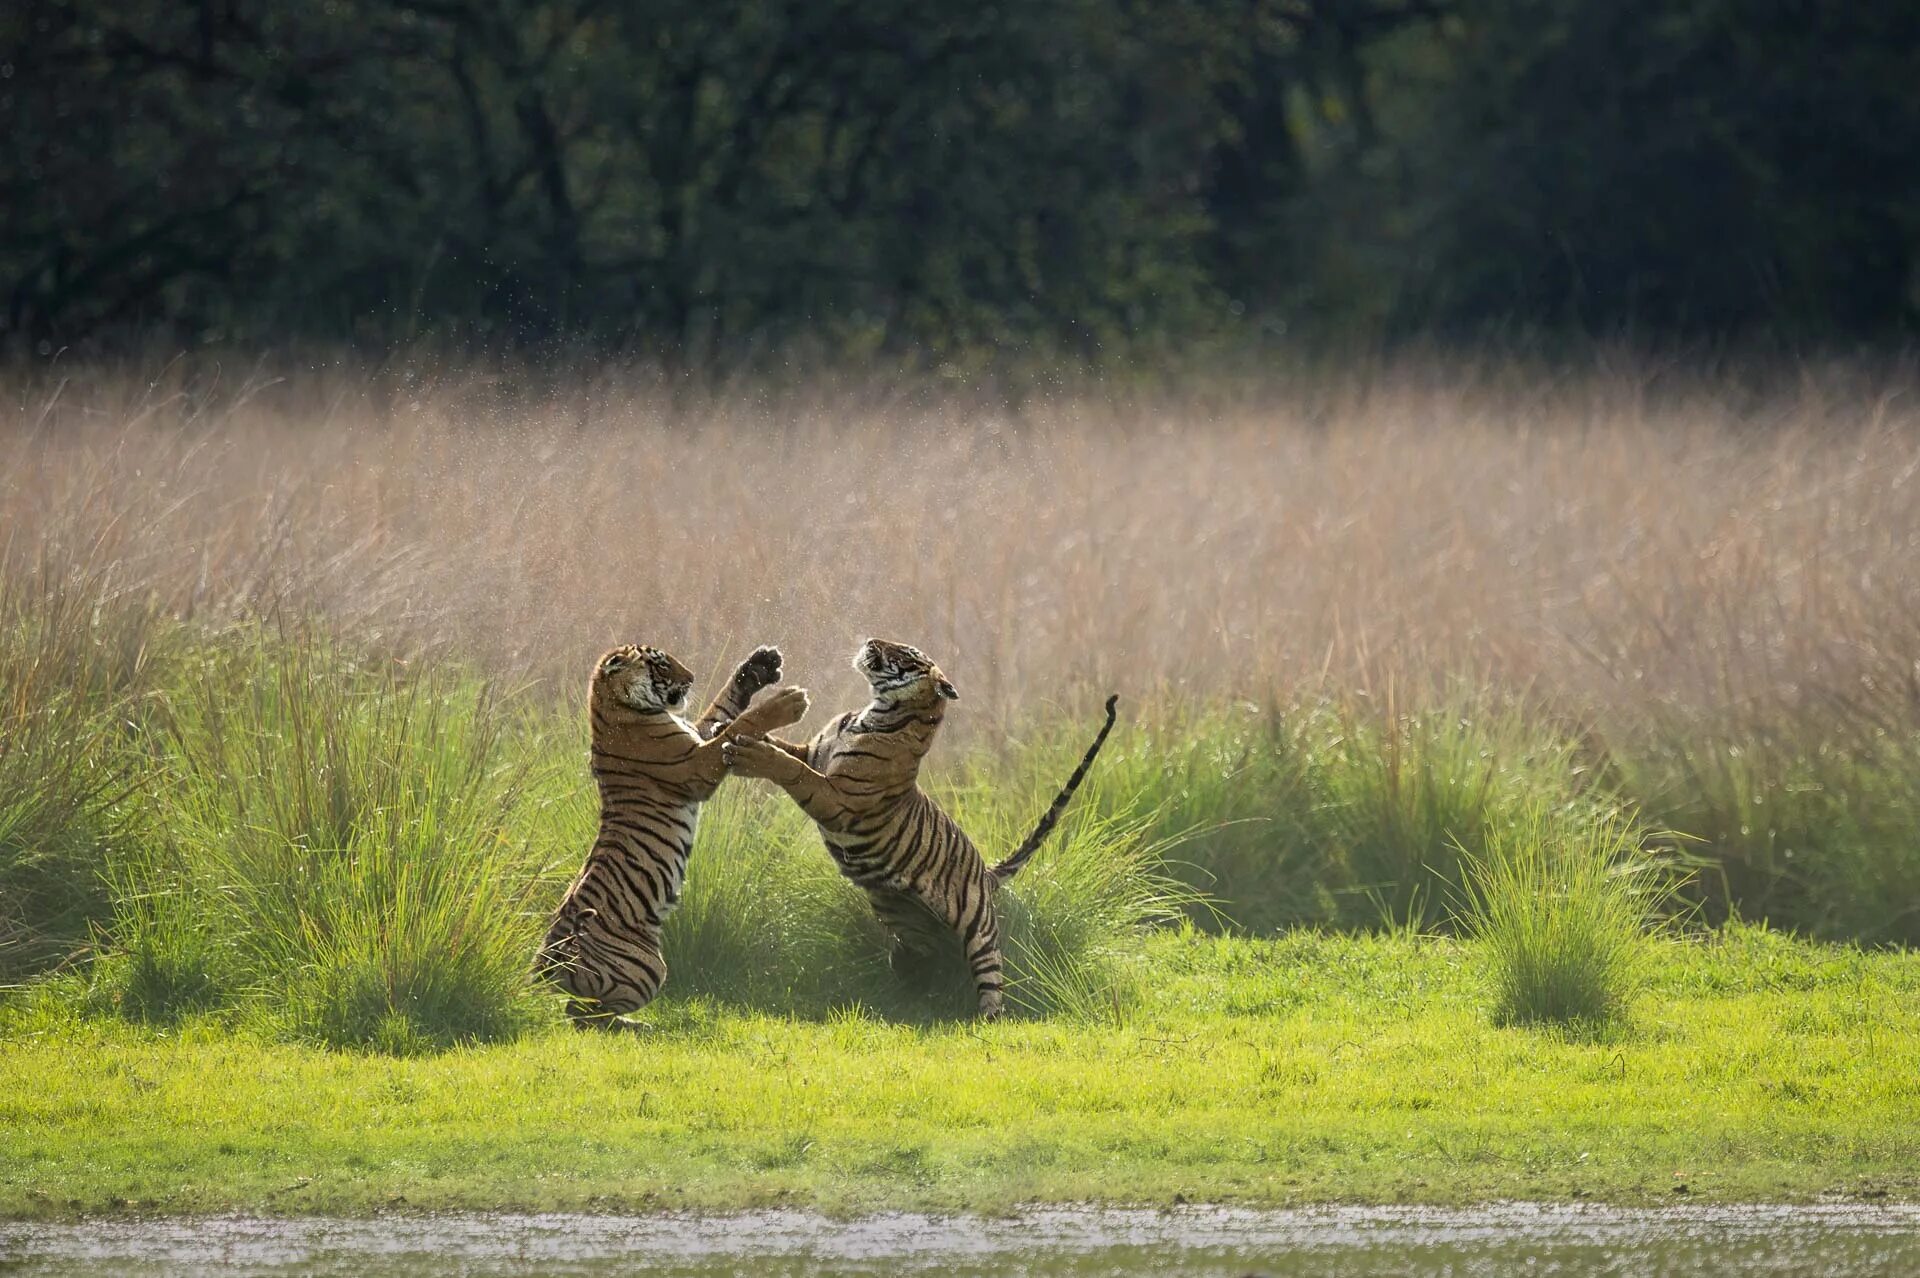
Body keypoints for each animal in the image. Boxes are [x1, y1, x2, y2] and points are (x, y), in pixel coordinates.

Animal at [537, 640, 814, 1028]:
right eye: (662, 665)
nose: (692, 677)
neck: (617, 707)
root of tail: (545, 965)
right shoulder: (694, 766)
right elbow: (738, 725)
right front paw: (787, 703)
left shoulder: (696, 735)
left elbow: (723, 710)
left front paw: (759, 666)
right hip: (648, 968)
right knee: (580, 1015)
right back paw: (637, 1027)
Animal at [721, 633, 1121, 1013]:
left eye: (906, 652)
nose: (871, 641)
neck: (874, 711)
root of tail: (987, 874)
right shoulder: (813, 753)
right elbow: (785, 748)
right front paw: (736, 733)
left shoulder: (837, 797)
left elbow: (792, 769)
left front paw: (748, 751)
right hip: (903, 918)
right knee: (923, 956)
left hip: (980, 933)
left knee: (991, 980)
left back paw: (986, 1018)